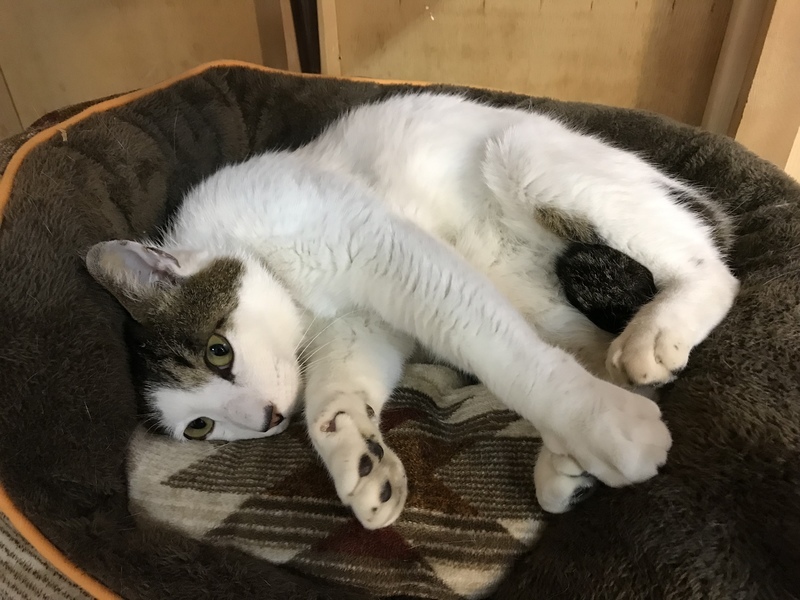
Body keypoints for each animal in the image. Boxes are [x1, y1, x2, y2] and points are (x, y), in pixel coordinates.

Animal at [85, 92, 738, 530]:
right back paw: (566, 469)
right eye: (199, 427)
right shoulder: (358, 330)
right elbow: (334, 396)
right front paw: (356, 460)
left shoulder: (385, 248)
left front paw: (601, 425)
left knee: (712, 271)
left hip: (530, 162)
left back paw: (656, 333)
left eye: (218, 352)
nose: (266, 418)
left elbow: (489, 343)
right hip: (546, 303)